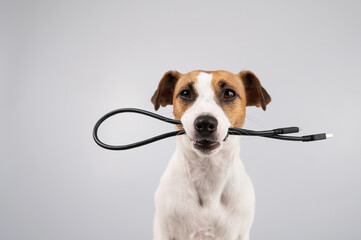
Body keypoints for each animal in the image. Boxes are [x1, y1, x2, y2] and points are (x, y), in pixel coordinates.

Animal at [150, 70, 270, 240]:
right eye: (185, 93)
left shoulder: (241, 232)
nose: (205, 123)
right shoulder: (164, 231)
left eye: (229, 93)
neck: (208, 174)